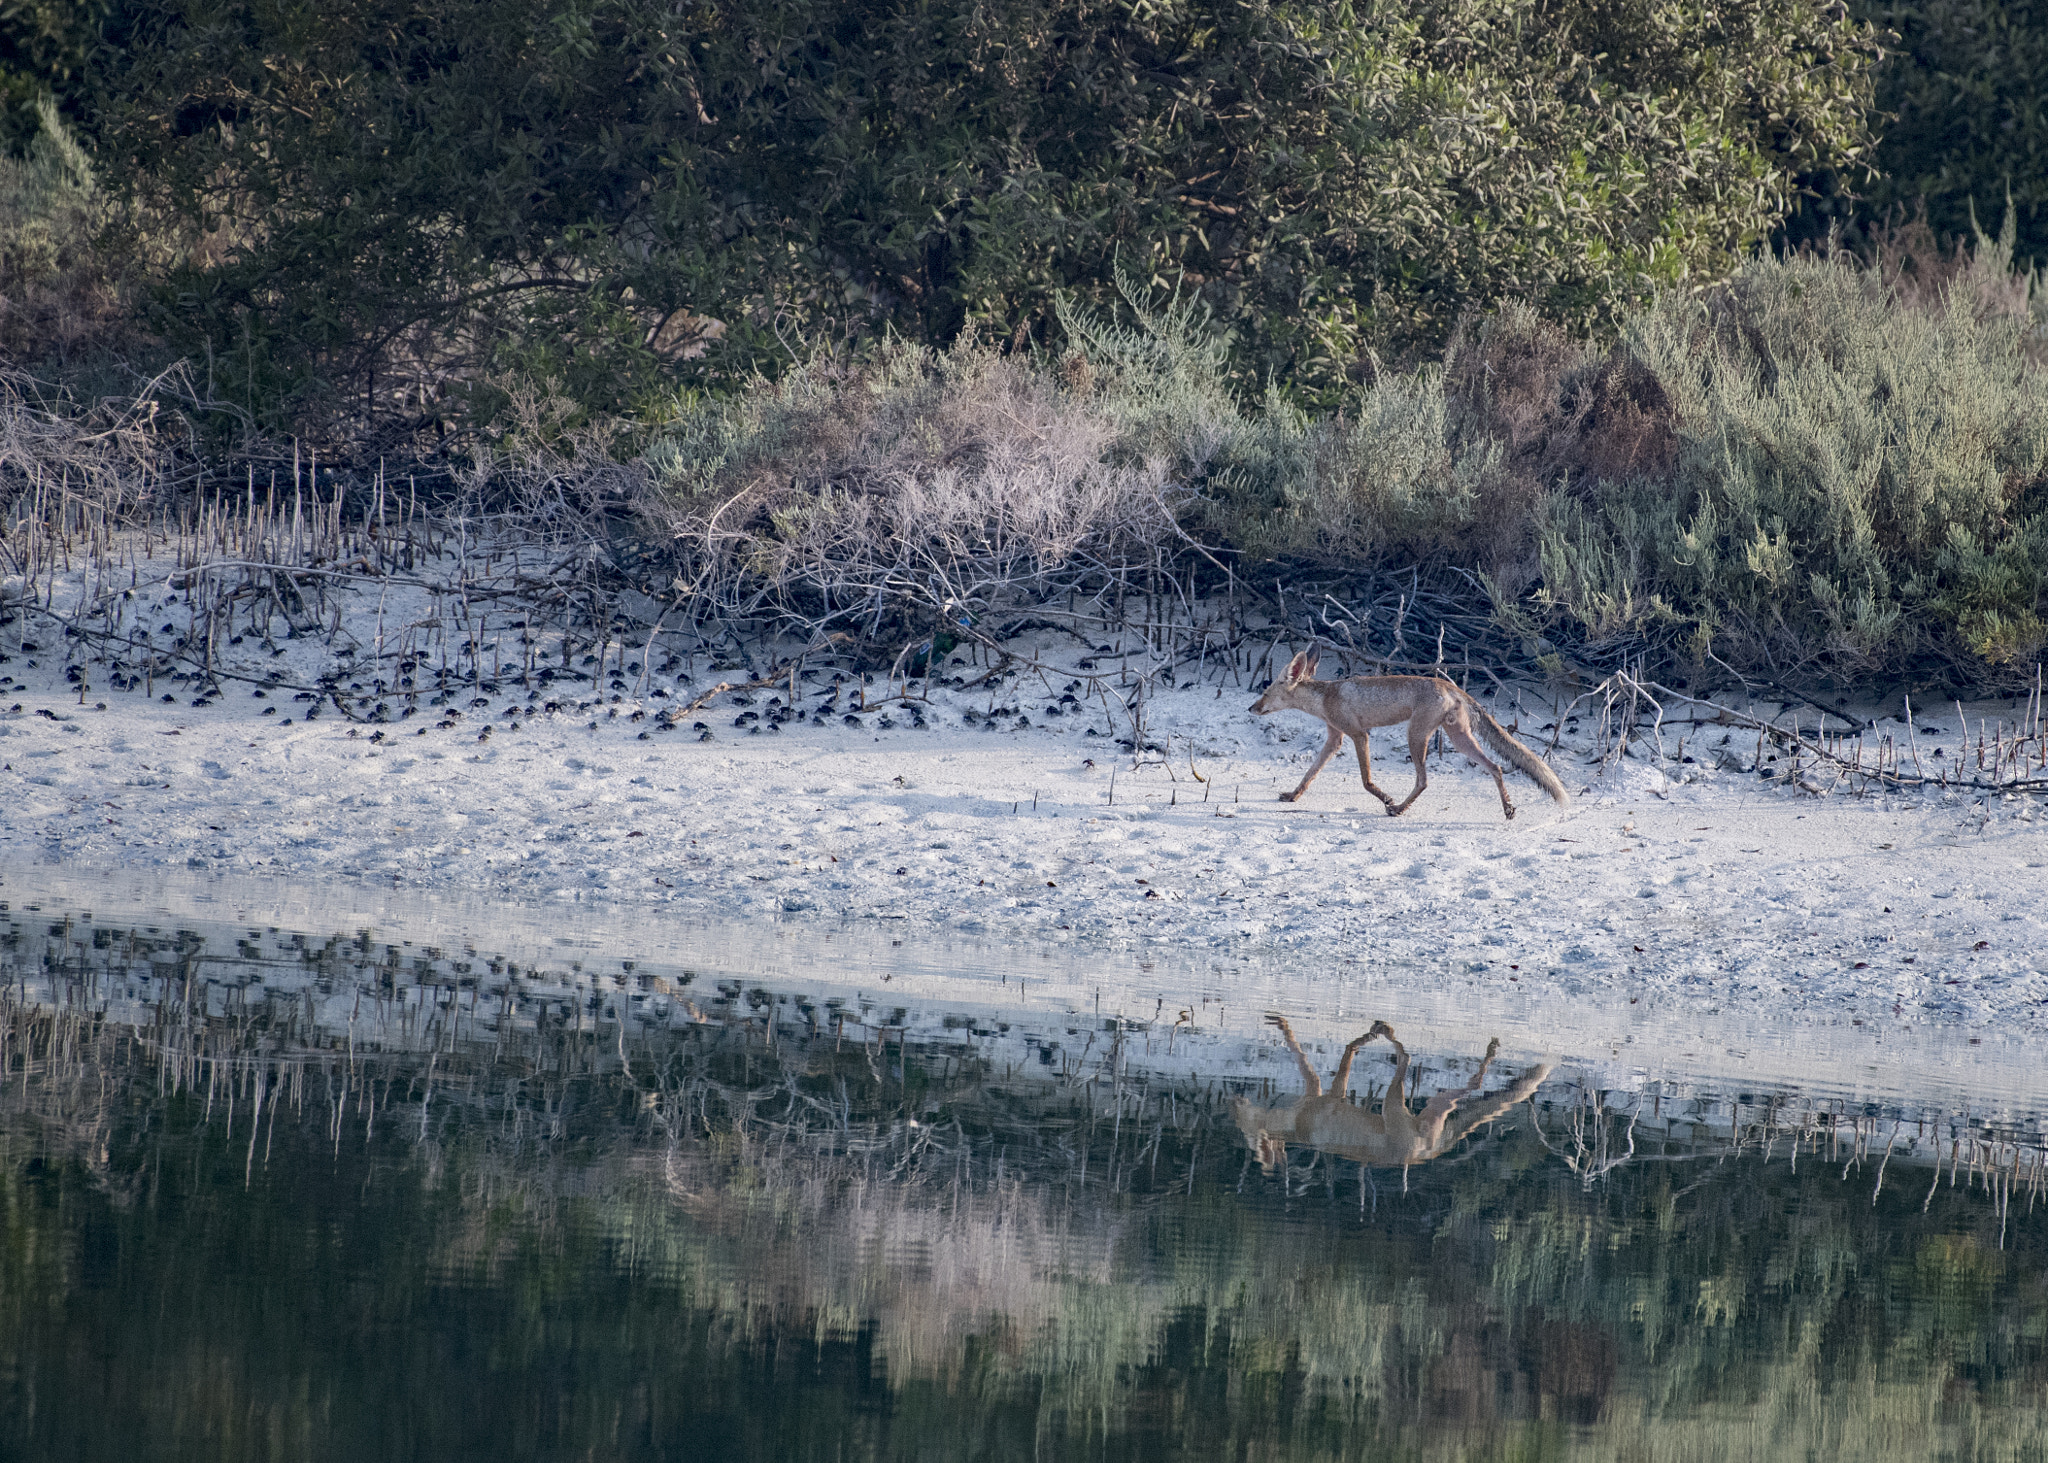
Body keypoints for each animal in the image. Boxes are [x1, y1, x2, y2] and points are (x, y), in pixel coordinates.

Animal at [1231, 1013, 1554, 1175]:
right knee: (1471, 1086)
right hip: (1431, 1110)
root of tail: (1423, 1157)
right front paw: (1280, 1022)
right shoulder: (1320, 1090)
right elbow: (1309, 1049)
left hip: (1391, 1103)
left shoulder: (1331, 1094)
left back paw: (1385, 1029)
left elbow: (1345, 1048)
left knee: (1407, 1056)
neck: (1294, 1125)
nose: (1234, 1098)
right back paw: (1492, 1050)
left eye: (1241, 1123)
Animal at [1249, 650, 1568, 818]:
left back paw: (1399, 807)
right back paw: (1508, 807)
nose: (1251, 708)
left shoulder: (1359, 735)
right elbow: (1309, 774)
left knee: (1424, 781)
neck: (1325, 698)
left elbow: (1366, 781)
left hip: (1415, 736)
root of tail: (1451, 686)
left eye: (1265, 692)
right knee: (1496, 767)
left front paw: (1385, 798)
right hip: (1457, 738)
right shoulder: (1335, 737)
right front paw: (1293, 795)